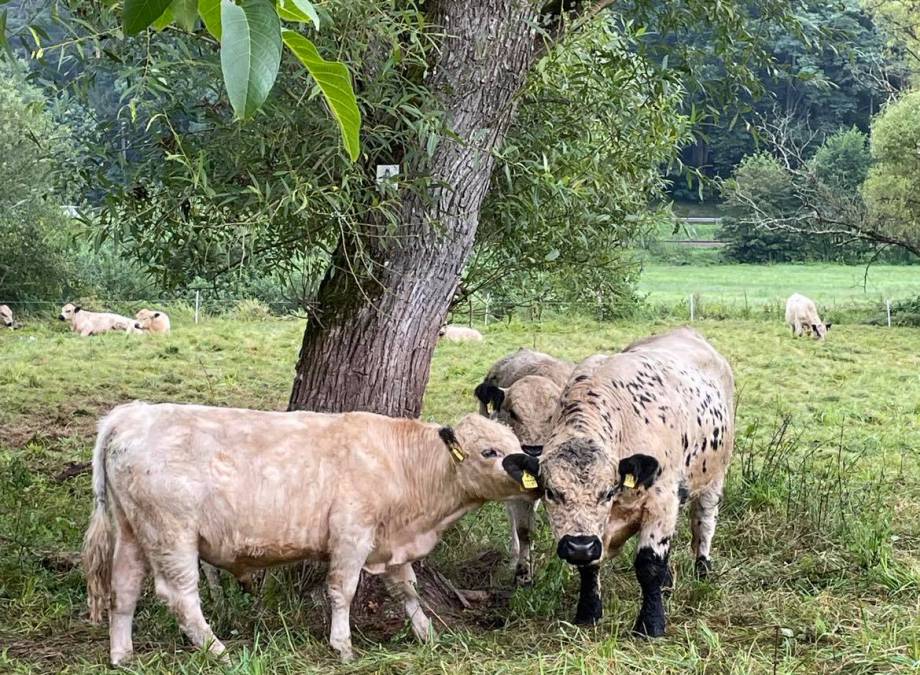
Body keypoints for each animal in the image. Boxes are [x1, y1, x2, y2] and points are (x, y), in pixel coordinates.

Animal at [532, 330, 732, 636]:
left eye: (607, 492)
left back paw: (702, 569)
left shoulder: (662, 500)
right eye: (551, 493)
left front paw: (651, 624)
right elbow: (590, 565)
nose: (578, 546)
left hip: (713, 478)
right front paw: (588, 612)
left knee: (703, 524)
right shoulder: (595, 531)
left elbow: (649, 565)